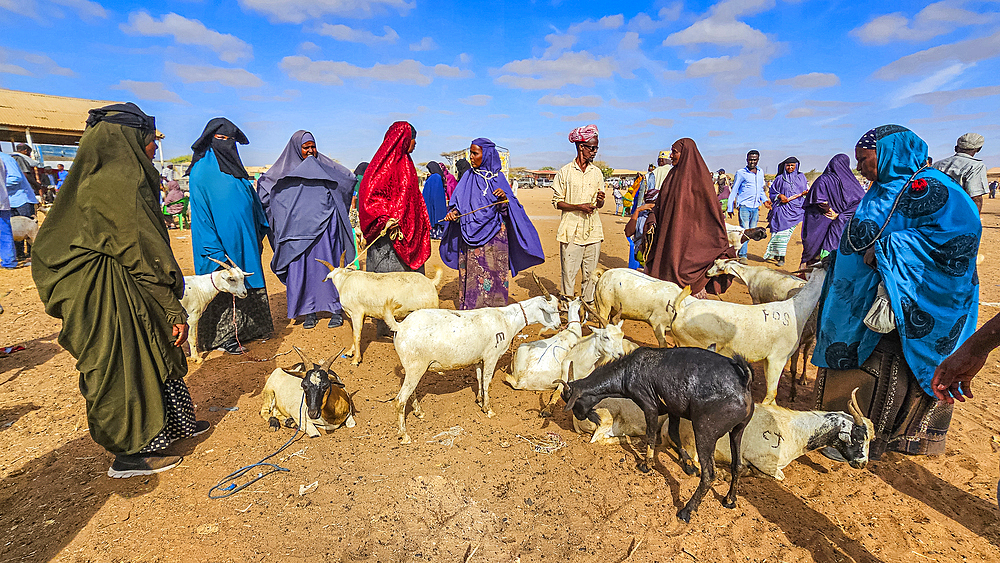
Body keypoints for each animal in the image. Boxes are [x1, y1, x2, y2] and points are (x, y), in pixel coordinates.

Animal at [382, 296, 564, 446]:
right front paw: (488, 409)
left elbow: (479, 378)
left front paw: (480, 401)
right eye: (551, 310)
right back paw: (405, 436)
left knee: (410, 392)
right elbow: (487, 380)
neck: (507, 319)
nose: (559, 325)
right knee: (400, 400)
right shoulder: (491, 356)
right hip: (416, 367)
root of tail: (400, 326)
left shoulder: (478, 359)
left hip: (412, 368)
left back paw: (418, 412)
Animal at [560, 348, 752, 524]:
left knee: (709, 474)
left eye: (573, 402)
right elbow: (674, 434)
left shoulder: (649, 406)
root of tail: (743, 383)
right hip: (738, 430)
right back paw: (729, 500)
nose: (579, 417)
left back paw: (686, 510)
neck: (627, 372)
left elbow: (651, 434)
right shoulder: (673, 410)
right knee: (737, 465)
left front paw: (646, 464)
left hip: (705, 431)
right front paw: (688, 465)